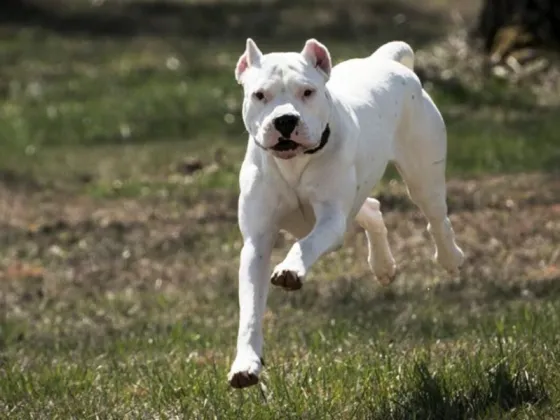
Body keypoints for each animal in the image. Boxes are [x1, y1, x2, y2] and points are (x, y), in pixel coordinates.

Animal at [226, 38, 464, 388]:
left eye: (307, 92)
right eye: (259, 95)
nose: (285, 120)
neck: (294, 163)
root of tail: (386, 60)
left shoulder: (330, 220)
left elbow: (306, 244)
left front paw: (290, 269)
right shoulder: (257, 241)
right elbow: (251, 311)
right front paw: (246, 365)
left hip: (423, 175)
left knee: (437, 218)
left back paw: (450, 257)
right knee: (373, 209)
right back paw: (383, 266)